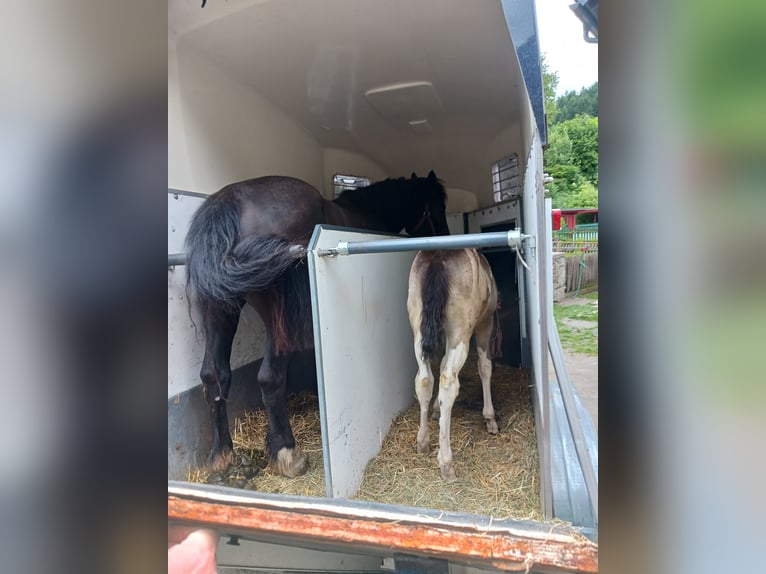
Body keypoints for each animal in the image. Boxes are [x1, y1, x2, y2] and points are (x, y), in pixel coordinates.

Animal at [185, 171, 450, 477]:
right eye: (437, 206)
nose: (445, 240)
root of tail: (231, 201)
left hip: (219, 311)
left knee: (213, 375)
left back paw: (221, 454)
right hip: (277, 320)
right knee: (269, 378)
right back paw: (288, 454)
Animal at [407, 248, 500, 481]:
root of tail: (437, 255)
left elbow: (438, 368)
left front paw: (436, 411)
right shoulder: (486, 323)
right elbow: (485, 366)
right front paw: (490, 419)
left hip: (419, 331)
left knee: (424, 379)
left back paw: (423, 442)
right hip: (460, 332)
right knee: (449, 381)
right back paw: (446, 463)